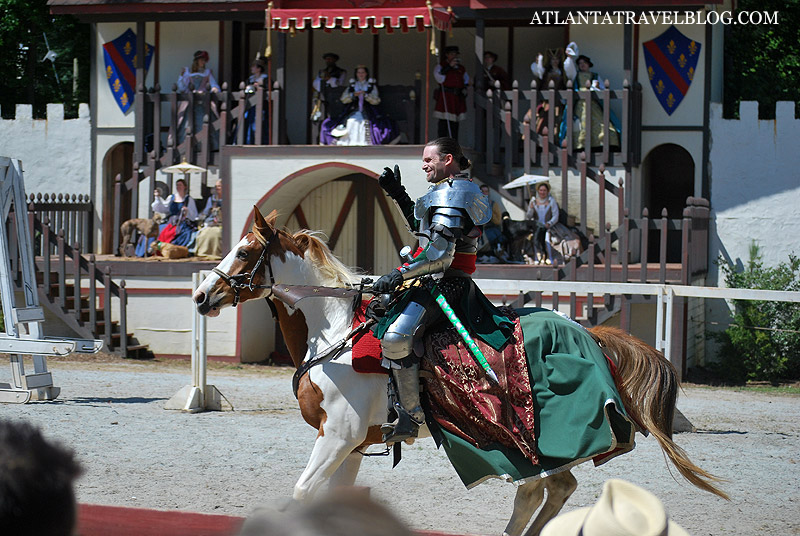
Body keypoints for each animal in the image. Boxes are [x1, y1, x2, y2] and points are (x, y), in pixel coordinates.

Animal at [192, 207, 724, 536]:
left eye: (244, 251)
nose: (201, 296)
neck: (334, 332)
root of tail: (589, 333)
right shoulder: (353, 445)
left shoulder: (338, 436)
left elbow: (303, 493)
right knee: (548, 489)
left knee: (540, 487)